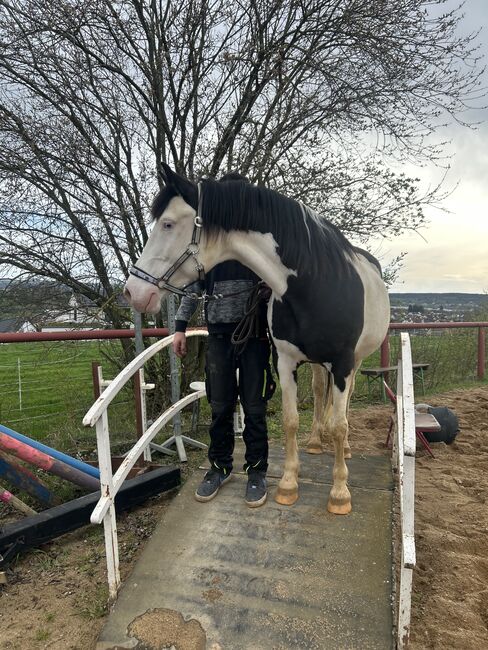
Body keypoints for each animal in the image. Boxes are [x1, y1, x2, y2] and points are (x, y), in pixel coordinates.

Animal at [125, 163, 388, 512]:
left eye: (167, 224)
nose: (133, 292)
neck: (314, 284)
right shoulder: (286, 362)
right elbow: (291, 420)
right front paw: (288, 484)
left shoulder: (343, 363)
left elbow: (340, 425)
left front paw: (339, 492)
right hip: (319, 364)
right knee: (320, 393)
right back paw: (315, 442)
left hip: (354, 362)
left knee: (341, 410)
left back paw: (341, 450)